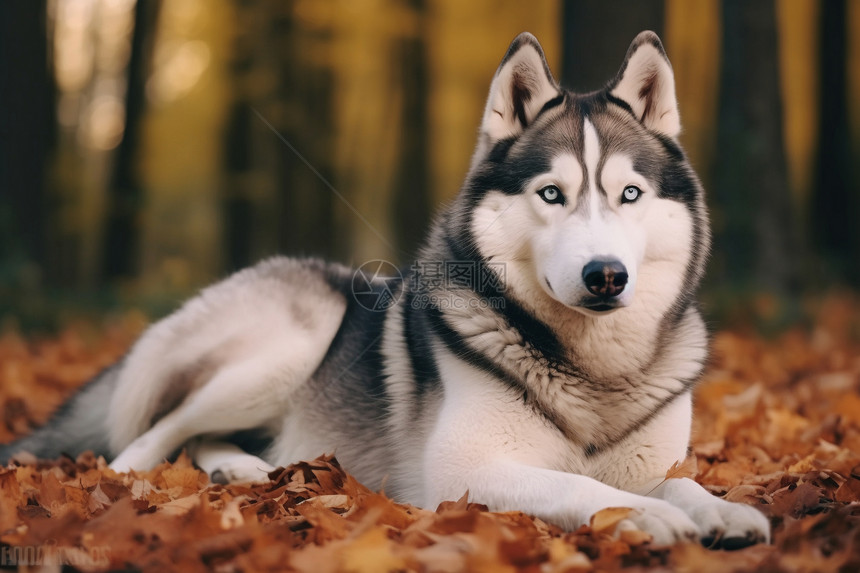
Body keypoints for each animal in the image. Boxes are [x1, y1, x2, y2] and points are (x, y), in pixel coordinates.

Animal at [3, 33, 768, 548]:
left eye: (629, 194)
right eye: (552, 193)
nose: (605, 274)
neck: (594, 370)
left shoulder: (650, 459)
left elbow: (678, 479)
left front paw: (718, 508)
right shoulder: (463, 472)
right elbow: (583, 486)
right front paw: (652, 517)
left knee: (202, 440)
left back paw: (245, 467)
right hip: (289, 344)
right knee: (146, 440)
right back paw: (147, 480)